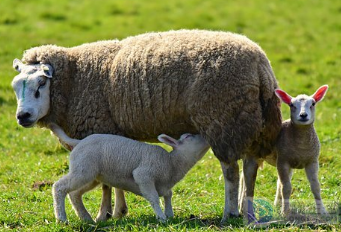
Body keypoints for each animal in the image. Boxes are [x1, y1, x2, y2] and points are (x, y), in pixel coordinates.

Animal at [48, 123, 209, 223]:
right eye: (188, 137)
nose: (204, 135)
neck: (171, 163)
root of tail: (78, 142)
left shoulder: (164, 185)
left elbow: (168, 195)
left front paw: (169, 214)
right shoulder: (144, 175)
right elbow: (154, 198)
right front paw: (161, 217)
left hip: (91, 175)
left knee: (74, 193)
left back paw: (86, 219)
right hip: (84, 169)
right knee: (59, 187)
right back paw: (62, 219)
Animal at [238, 85, 328, 219]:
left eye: (313, 103)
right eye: (291, 105)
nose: (303, 115)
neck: (301, 145)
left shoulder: (312, 161)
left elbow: (315, 186)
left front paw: (322, 211)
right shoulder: (283, 161)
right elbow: (286, 188)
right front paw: (285, 212)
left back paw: (276, 203)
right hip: (251, 154)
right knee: (244, 178)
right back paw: (241, 206)